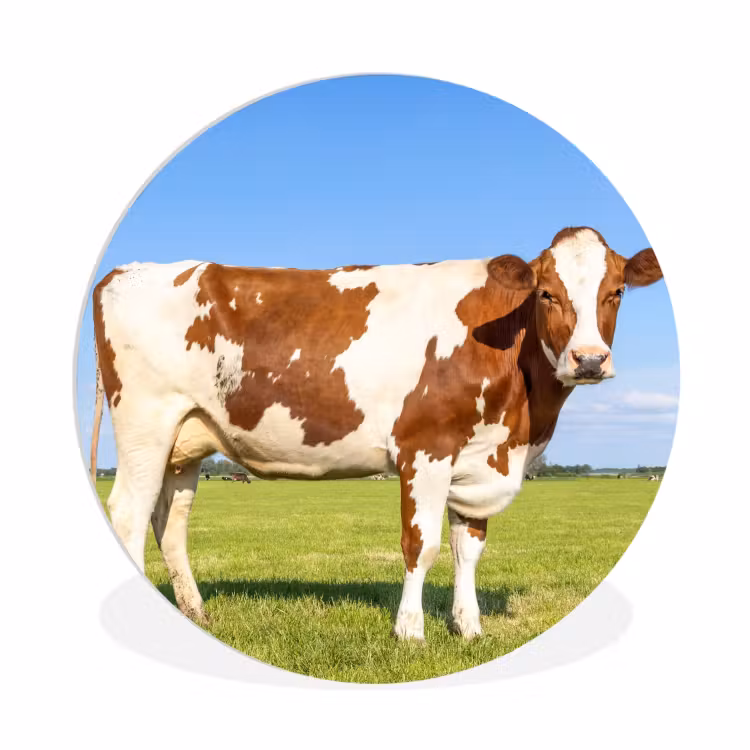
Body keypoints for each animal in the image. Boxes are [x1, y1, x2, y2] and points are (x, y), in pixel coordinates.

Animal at [89, 226, 662, 640]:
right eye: (546, 293)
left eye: (616, 292)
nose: (589, 360)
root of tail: (127, 270)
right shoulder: (425, 448)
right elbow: (421, 545)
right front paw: (410, 633)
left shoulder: (480, 457)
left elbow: (468, 548)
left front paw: (470, 629)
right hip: (145, 424)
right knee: (129, 517)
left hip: (186, 441)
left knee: (170, 522)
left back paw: (196, 613)